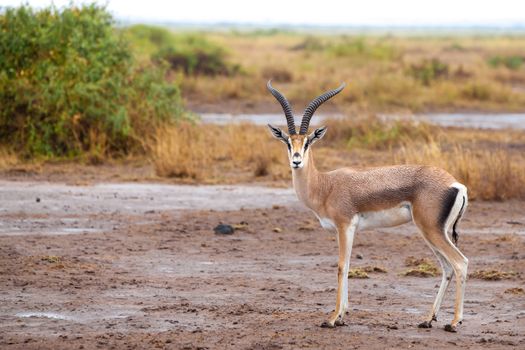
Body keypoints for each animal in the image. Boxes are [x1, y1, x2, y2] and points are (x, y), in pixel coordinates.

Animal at [266, 80, 466, 332]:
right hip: (433, 232)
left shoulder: (345, 226)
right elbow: (348, 265)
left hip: (431, 230)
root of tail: (455, 184)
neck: (324, 186)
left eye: (308, 142)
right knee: (447, 267)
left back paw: (454, 322)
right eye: (287, 141)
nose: (296, 160)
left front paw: (331, 318)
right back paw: (428, 319)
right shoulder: (346, 230)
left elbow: (341, 266)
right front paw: (342, 316)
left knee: (460, 263)